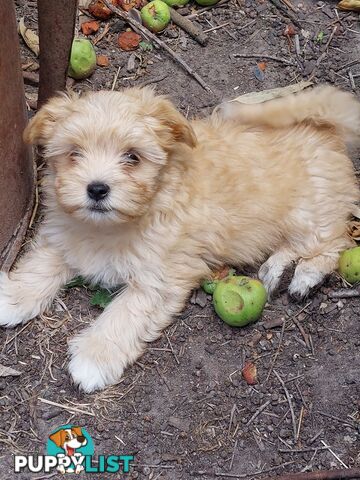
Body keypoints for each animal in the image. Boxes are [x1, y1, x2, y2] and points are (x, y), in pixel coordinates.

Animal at [0, 85, 358, 390]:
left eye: (132, 157)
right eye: (74, 153)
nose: (97, 189)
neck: (112, 226)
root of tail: (323, 130)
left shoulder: (158, 279)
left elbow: (124, 314)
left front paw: (95, 356)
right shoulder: (65, 237)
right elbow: (39, 266)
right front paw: (12, 296)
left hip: (309, 214)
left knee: (333, 243)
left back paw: (304, 275)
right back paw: (276, 270)